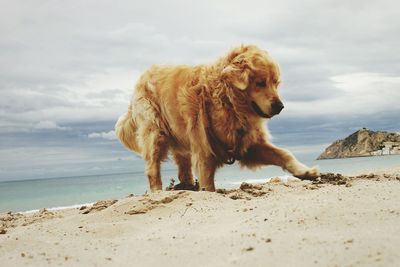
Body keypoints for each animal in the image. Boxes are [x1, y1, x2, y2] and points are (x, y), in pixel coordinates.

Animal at [115, 45, 318, 193]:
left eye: (276, 83)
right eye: (260, 83)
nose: (280, 106)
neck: (227, 101)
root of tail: (142, 77)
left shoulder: (248, 145)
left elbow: (284, 153)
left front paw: (304, 171)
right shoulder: (204, 151)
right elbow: (208, 182)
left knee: (183, 166)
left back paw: (187, 186)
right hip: (155, 132)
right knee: (152, 167)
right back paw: (157, 192)